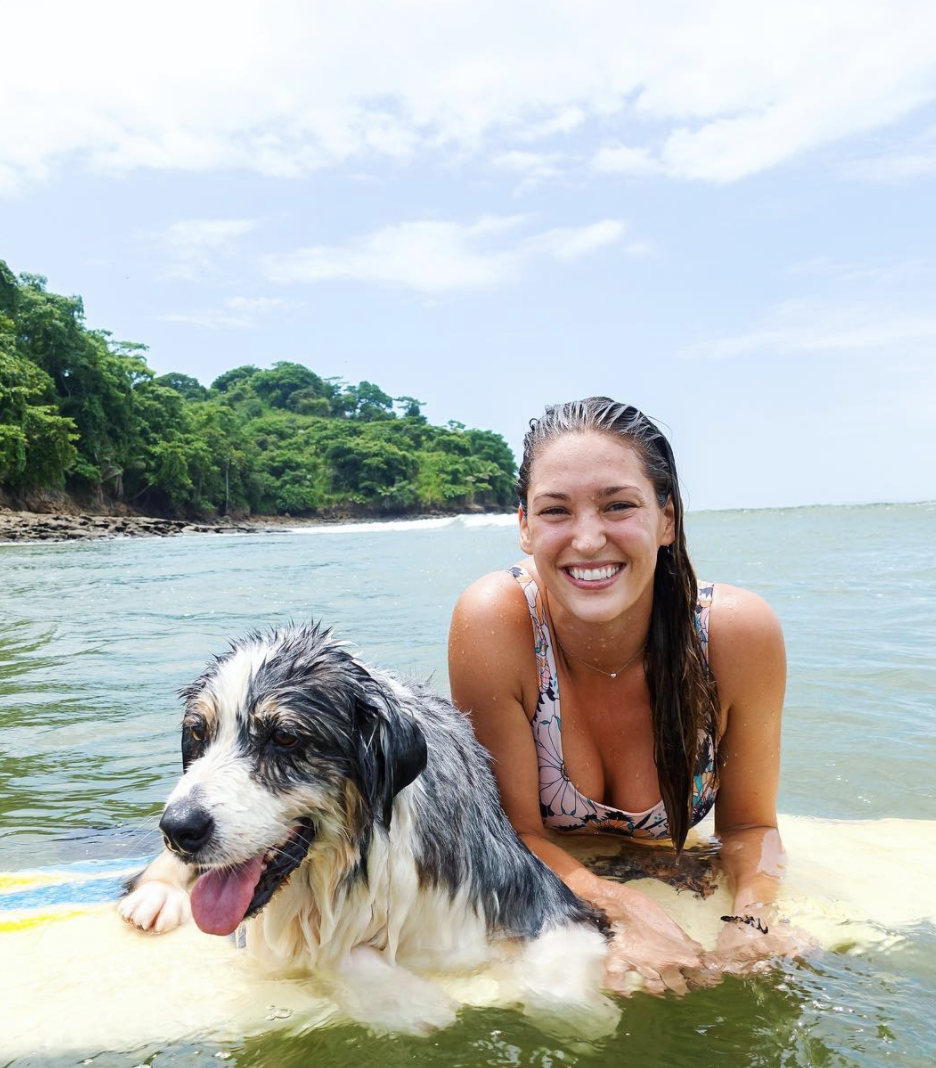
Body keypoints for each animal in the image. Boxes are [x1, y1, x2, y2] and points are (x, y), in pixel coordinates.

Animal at [118, 623, 615, 1029]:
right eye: (198, 733)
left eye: (284, 737)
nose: (178, 830)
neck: (359, 861)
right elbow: (330, 953)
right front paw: (411, 1002)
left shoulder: (535, 898)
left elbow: (561, 985)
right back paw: (155, 895)